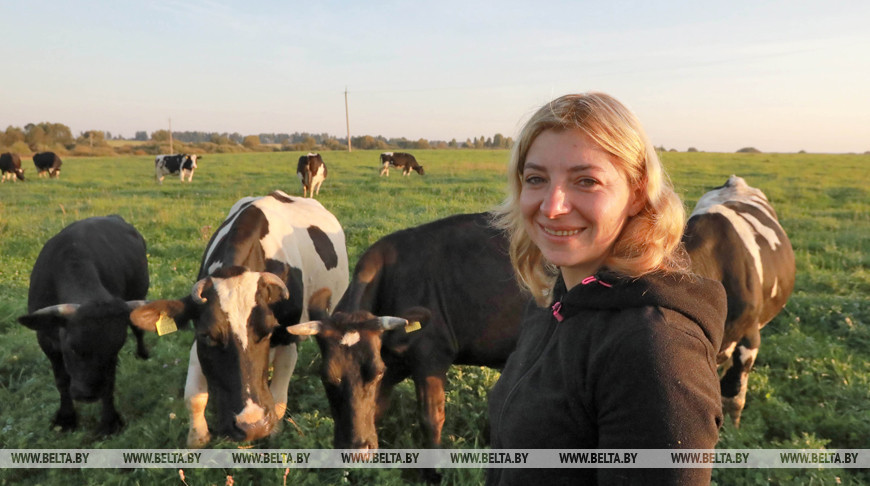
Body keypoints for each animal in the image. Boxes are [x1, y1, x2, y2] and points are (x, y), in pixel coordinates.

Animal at [17, 216, 152, 436]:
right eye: (72, 348)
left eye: (115, 349)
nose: (88, 395)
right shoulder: (46, 341)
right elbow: (61, 380)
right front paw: (66, 418)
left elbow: (109, 382)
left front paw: (109, 421)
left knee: (138, 329)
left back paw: (142, 354)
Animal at [129, 190, 348, 448]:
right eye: (208, 335)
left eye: (269, 330)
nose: (252, 425)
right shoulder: (198, 333)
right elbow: (194, 396)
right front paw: (197, 438)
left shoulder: (287, 337)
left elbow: (279, 398)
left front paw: (273, 431)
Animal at [286, 212, 524, 456]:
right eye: (326, 377)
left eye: (376, 373)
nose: (357, 450)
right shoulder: (392, 363)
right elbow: (376, 411)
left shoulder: (431, 357)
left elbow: (431, 420)